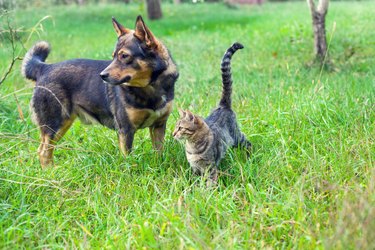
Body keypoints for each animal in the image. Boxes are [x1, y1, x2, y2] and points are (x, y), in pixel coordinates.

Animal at [22, 16, 181, 168]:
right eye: (113, 56)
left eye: (124, 56)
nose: (102, 75)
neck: (150, 87)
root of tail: (44, 68)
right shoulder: (125, 130)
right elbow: (128, 159)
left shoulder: (158, 126)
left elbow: (158, 153)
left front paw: (159, 167)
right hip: (54, 124)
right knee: (43, 151)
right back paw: (50, 172)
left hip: (61, 125)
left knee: (46, 150)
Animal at [174, 42, 253, 184]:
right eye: (175, 127)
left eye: (180, 128)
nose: (173, 134)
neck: (192, 147)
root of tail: (223, 105)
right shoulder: (195, 169)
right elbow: (196, 182)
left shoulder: (209, 168)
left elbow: (210, 183)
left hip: (237, 136)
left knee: (248, 143)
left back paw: (250, 156)